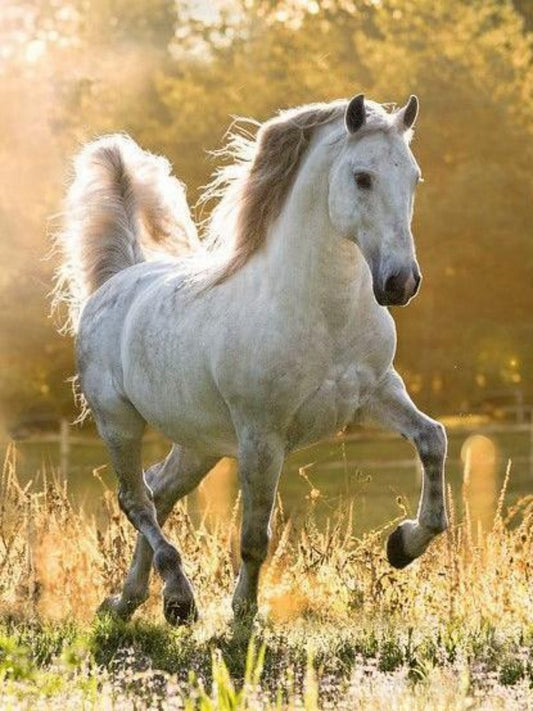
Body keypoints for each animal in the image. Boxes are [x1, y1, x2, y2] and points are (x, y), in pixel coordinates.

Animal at [54, 93, 448, 625]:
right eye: (362, 177)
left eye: (414, 177)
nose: (400, 283)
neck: (322, 313)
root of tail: (118, 279)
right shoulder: (262, 436)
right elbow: (255, 535)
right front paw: (242, 615)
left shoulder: (378, 393)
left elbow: (433, 440)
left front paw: (403, 544)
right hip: (118, 423)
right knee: (136, 500)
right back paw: (177, 598)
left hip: (199, 443)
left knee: (159, 490)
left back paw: (129, 599)